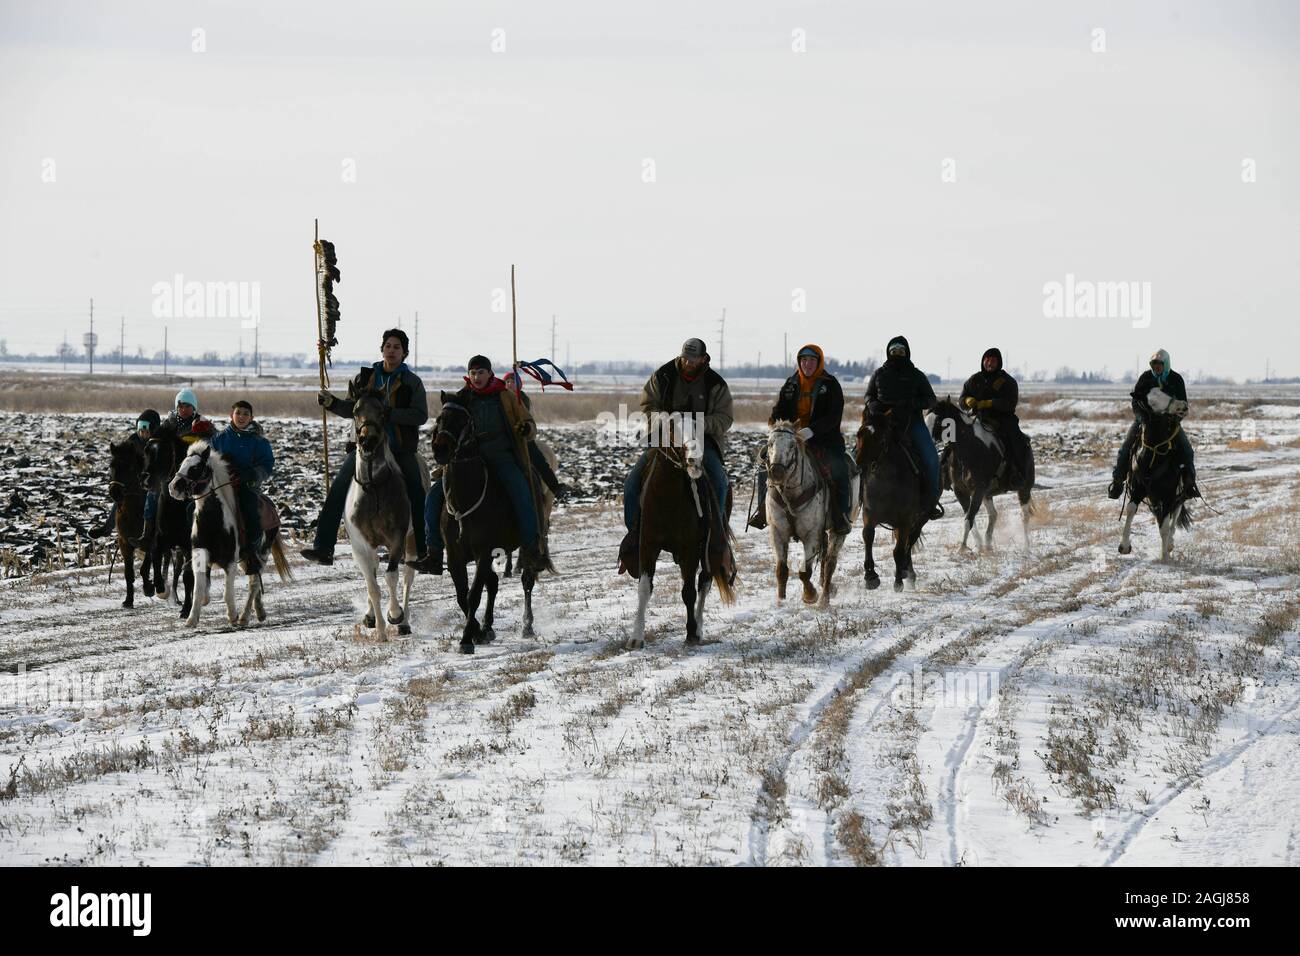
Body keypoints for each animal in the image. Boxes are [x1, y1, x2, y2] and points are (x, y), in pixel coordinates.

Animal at [142, 429, 195, 616]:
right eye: (146, 451)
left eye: (166, 453)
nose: (146, 479)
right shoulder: (161, 539)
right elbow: (156, 559)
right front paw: (158, 588)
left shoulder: (189, 545)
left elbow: (188, 577)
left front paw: (186, 609)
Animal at [759, 421, 863, 608]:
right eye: (770, 444)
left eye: (792, 445)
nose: (776, 472)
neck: (790, 495)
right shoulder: (778, 532)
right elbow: (781, 570)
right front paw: (780, 600)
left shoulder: (811, 535)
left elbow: (805, 572)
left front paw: (810, 595)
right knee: (825, 556)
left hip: (839, 531)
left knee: (830, 562)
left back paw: (824, 599)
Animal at [857, 416, 930, 590]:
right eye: (859, 435)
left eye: (882, 440)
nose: (859, 463)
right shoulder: (869, 515)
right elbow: (868, 536)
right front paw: (870, 577)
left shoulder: (904, 520)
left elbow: (898, 551)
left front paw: (898, 582)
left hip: (918, 520)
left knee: (909, 543)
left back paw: (906, 572)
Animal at [925, 400, 1034, 554]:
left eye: (939, 420)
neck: (968, 449)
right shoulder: (960, 491)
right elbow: (970, 518)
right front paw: (977, 545)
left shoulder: (978, 489)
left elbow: (969, 519)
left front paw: (962, 548)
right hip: (987, 494)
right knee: (993, 515)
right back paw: (988, 544)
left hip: (1024, 489)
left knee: (1025, 515)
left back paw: (1026, 546)